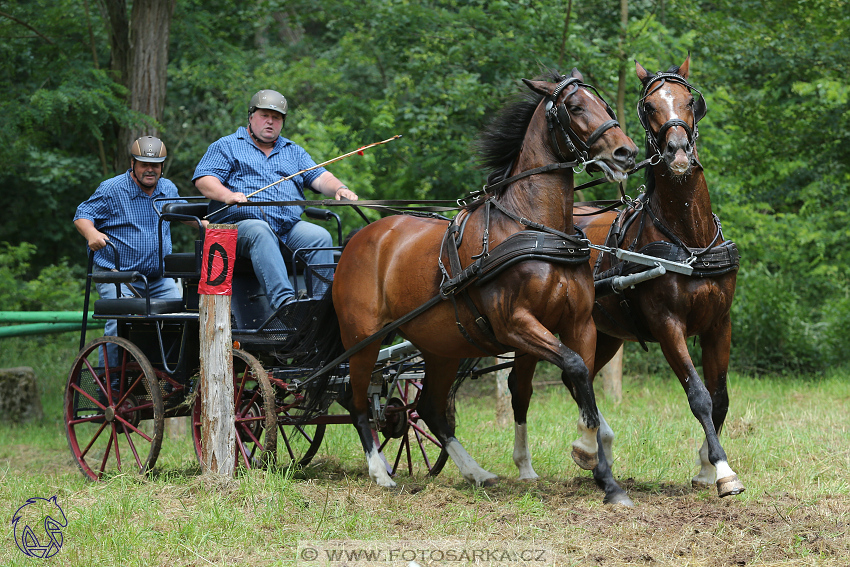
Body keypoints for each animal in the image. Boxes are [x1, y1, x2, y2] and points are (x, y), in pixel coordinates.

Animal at [326, 70, 636, 492]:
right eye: (574, 107)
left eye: (605, 105)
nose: (626, 153)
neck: (534, 229)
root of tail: (360, 238)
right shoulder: (515, 323)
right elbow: (572, 368)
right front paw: (587, 450)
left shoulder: (577, 323)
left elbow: (576, 377)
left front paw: (596, 460)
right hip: (363, 339)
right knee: (357, 402)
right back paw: (379, 472)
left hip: (440, 346)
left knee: (430, 409)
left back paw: (475, 471)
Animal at [510, 55, 744, 504]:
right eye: (649, 106)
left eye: (690, 100)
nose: (677, 152)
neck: (688, 239)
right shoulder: (667, 324)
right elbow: (698, 396)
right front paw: (723, 471)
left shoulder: (719, 323)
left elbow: (720, 397)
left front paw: (706, 467)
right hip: (536, 324)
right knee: (522, 386)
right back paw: (531, 465)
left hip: (603, 334)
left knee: (575, 377)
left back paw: (597, 447)